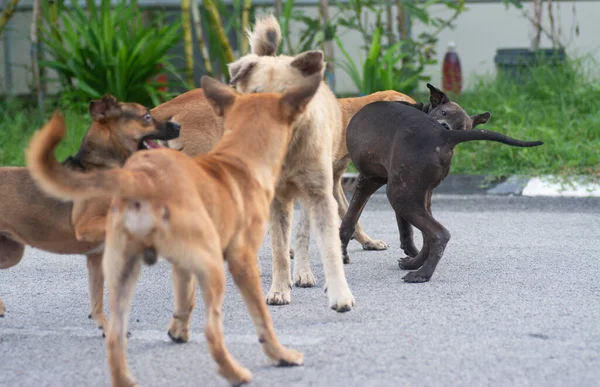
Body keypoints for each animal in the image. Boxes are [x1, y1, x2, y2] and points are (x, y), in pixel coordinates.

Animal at [0, 95, 180, 326]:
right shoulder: (86, 226)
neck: (103, 168)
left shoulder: (95, 257)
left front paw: (104, 325)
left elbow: (96, 300)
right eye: (146, 116)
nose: (178, 125)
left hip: (11, 252)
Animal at [338, 93, 544, 284]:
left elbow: (349, 220)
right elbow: (406, 230)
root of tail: (443, 135)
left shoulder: (368, 180)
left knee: (439, 234)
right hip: (411, 194)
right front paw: (411, 253)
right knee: (428, 235)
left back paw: (422, 274)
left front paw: (342, 253)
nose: (446, 125)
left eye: (462, 127)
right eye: (444, 113)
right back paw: (415, 264)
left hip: (398, 194)